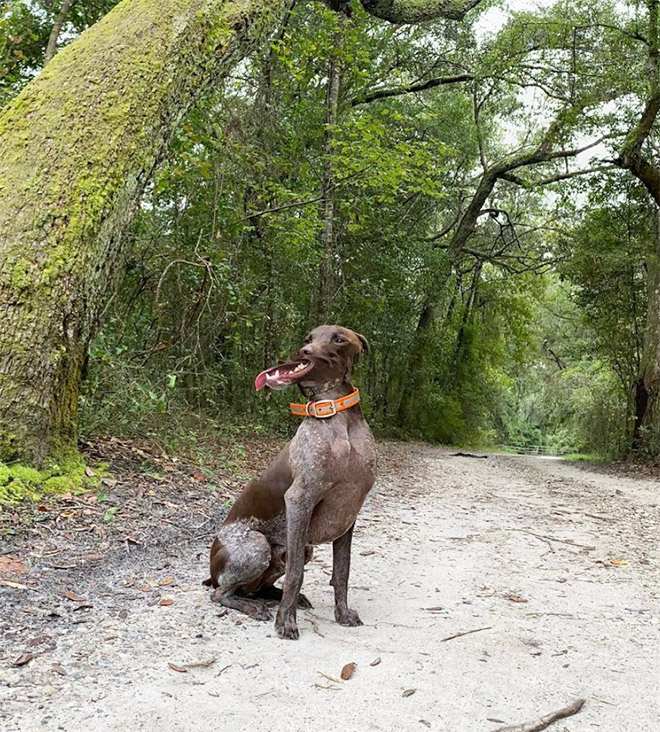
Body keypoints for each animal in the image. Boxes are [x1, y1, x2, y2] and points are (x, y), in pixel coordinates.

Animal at [204, 326, 374, 640]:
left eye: (339, 339)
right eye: (308, 339)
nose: (302, 352)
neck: (337, 418)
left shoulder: (349, 513)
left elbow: (342, 572)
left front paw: (342, 614)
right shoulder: (299, 500)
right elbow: (297, 574)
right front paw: (286, 621)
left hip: (298, 549)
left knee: (258, 588)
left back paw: (273, 598)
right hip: (256, 546)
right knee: (221, 593)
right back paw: (254, 606)